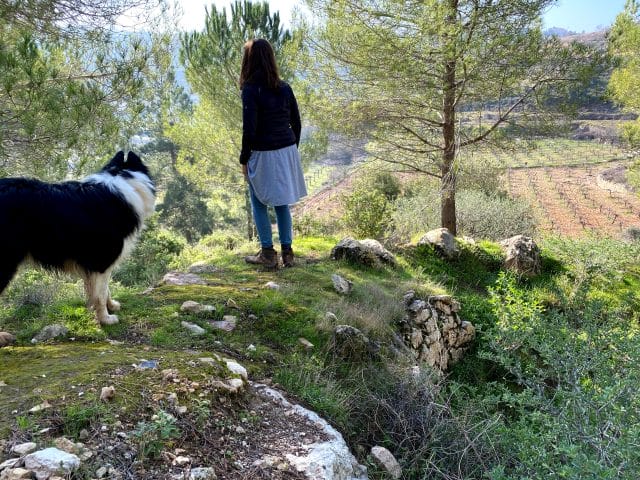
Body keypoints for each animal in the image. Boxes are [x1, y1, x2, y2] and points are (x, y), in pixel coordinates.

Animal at [0, 152, 155, 324]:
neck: (122, 176)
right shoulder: (102, 260)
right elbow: (101, 293)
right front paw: (106, 319)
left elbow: (104, 290)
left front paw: (111, 306)